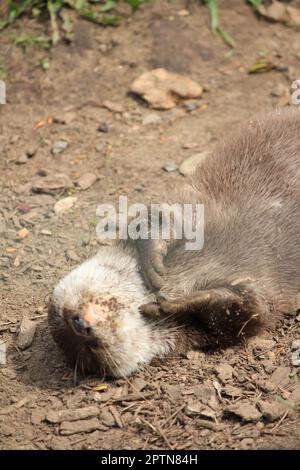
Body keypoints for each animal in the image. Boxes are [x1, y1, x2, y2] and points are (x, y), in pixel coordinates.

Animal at [47, 107, 300, 378]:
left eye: (67, 316)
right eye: (88, 350)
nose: (80, 324)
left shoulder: (195, 199)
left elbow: (161, 216)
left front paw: (155, 262)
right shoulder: (226, 321)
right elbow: (247, 310)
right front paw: (177, 304)